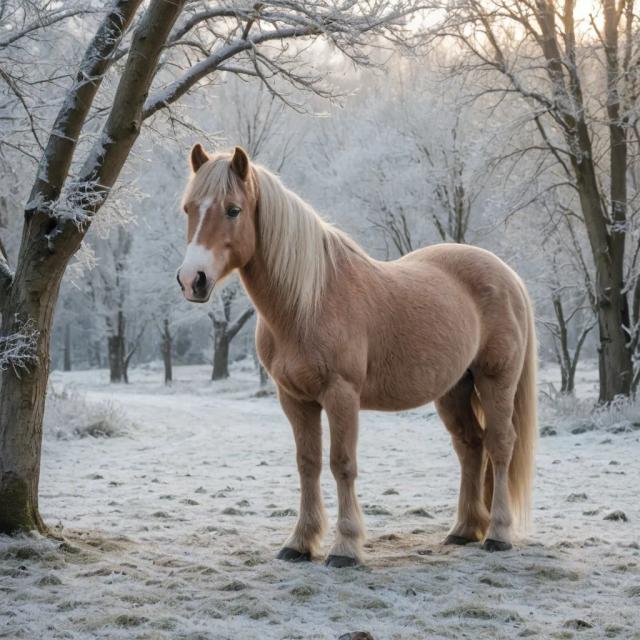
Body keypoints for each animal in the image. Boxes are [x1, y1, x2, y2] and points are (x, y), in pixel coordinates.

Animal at [176, 145, 537, 568]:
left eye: (233, 210)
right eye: (188, 209)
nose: (192, 279)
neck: (309, 302)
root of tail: (507, 275)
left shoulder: (341, 395)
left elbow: (342, 464)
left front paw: (345, 547)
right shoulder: (294, 399)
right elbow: (308, 464)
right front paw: (300, 542)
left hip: (495, 380)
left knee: (500, 446)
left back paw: (497, 533)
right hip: (454, 389)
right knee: (470, 446)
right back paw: (464, 530)